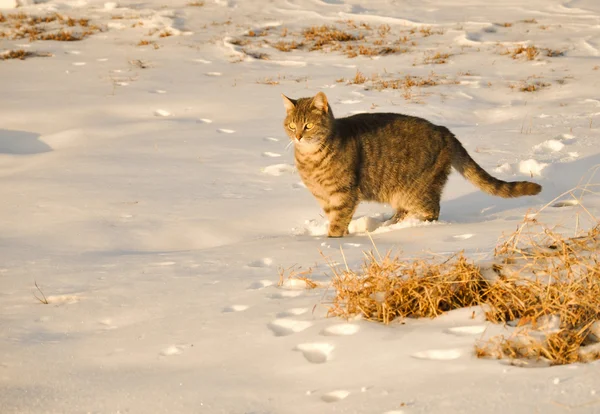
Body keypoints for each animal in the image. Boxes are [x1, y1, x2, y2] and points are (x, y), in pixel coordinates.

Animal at [282, 92, 544, 238]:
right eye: (292, 125)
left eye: (308, 126)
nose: (298, 137)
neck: (311, 159)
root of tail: (444, 131)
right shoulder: (325, 198)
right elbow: (336, 220)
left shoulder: (344, 194)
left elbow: (337, 223)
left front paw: (334, 241)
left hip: (418, 189)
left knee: (431, 211)